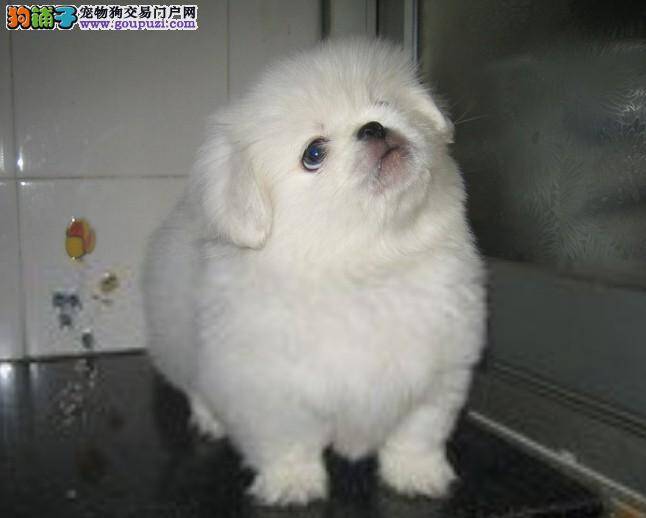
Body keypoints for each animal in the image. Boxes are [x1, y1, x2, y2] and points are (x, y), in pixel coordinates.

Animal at [143, 38, 486, 506]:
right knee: (194, 385)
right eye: (314, 154)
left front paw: (416, 475)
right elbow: (287, 443)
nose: (374, 128)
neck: (366, 267)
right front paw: (293, 485)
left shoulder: (436, 379)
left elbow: (417, 434)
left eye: (384, 104)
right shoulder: (270, 396)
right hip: (176, 343)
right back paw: (210, 419)